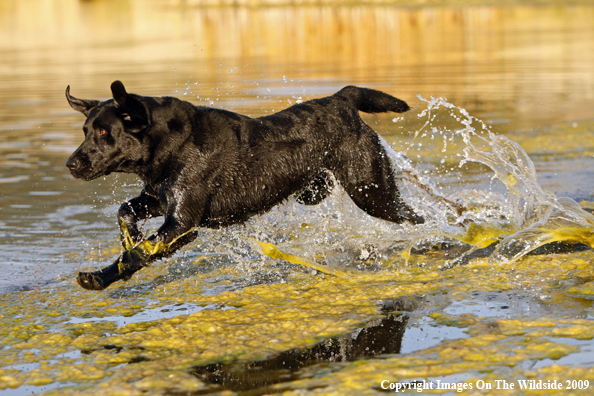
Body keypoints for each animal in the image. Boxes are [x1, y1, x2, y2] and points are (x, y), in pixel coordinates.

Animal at [66, 81, 420, 290]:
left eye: (103, 132)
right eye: (84, 130)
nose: (71, 164)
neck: (172, 144)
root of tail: (342, 99)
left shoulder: (182, 223)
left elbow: (138, 255)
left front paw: (99, 277)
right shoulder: (161, 199)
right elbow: (125, 211)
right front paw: (130, 237)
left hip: (372, 190)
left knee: (416, 218)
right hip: (323, 191)